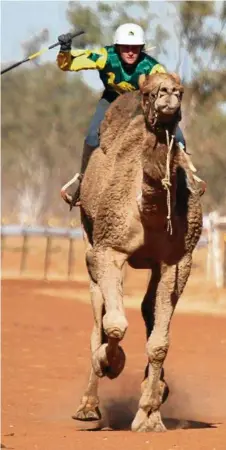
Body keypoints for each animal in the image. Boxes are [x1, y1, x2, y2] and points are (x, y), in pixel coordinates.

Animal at [71, 73, 203, 432]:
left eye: (181, 90)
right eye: (147, 92)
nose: (168, 94)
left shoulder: (178, 260)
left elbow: (159, 342)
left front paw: (148, 415)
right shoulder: (109, 248)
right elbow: (115, 324)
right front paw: (110, 362)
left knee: (146, 309)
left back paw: (156, 393)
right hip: (89, 241)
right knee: (98, 312)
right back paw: (88, 405)